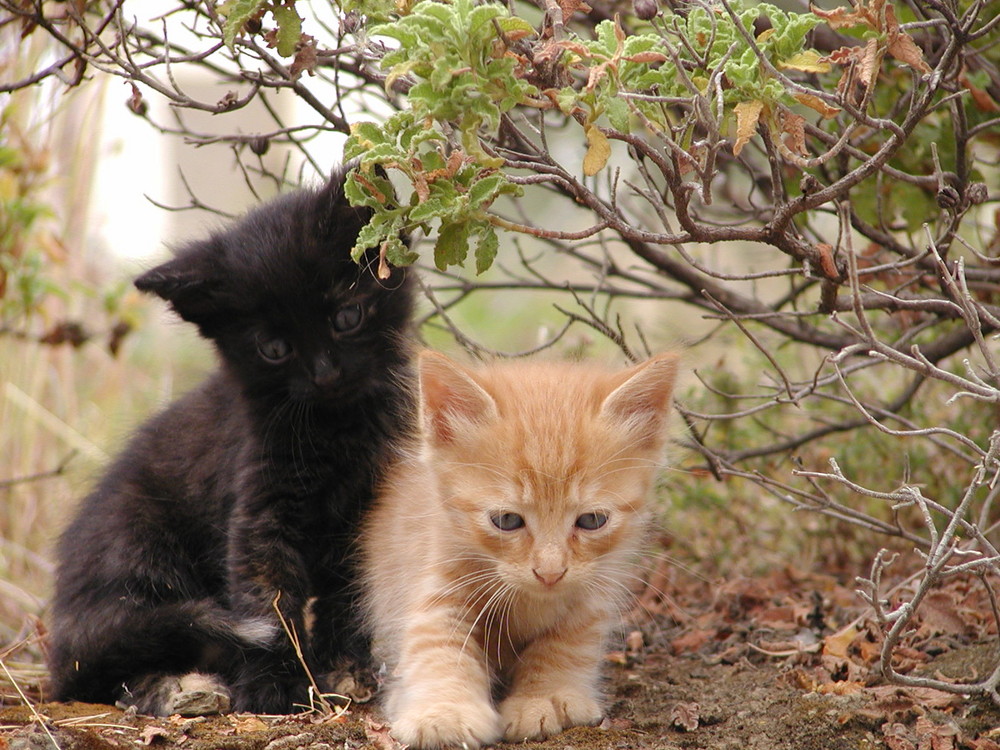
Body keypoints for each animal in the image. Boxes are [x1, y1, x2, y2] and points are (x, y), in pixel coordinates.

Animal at [46, 170, 414, 716]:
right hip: (136, 549)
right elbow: (270, 598)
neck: (338, 426)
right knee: (106, 666)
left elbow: (350, 594)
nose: (326, 374)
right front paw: (275, 686)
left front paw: (348, 670)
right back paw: (178, 688)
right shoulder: (259, 509)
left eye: (347, 318)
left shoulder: (368, 508)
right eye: (274, 348)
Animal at [360, 352, 680, 750]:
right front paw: (444, 711)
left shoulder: (597, 586)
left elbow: (569, 640)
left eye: (591, 520)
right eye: (507, 520)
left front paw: (545, 696)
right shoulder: (437, 573)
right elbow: (436, 643)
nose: (550, 572)